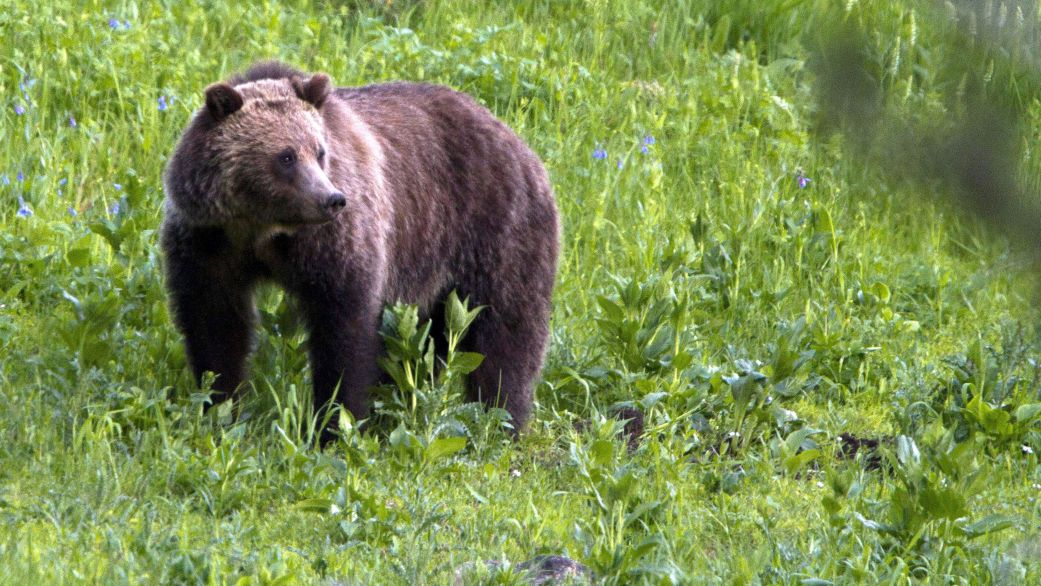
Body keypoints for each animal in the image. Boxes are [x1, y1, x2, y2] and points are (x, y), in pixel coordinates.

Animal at [161, 62, 559, 438]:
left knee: (505, 332)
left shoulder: (334, 244)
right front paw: (220, 407)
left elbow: (344, 329)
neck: (262, 229)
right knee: (428, 342)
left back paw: (502, 419)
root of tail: (517, 140)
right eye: (286, 157)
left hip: (494, 230)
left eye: (320, 152)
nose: (331, 199)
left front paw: (335, 423)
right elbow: (215, 324)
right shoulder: (209, 243)